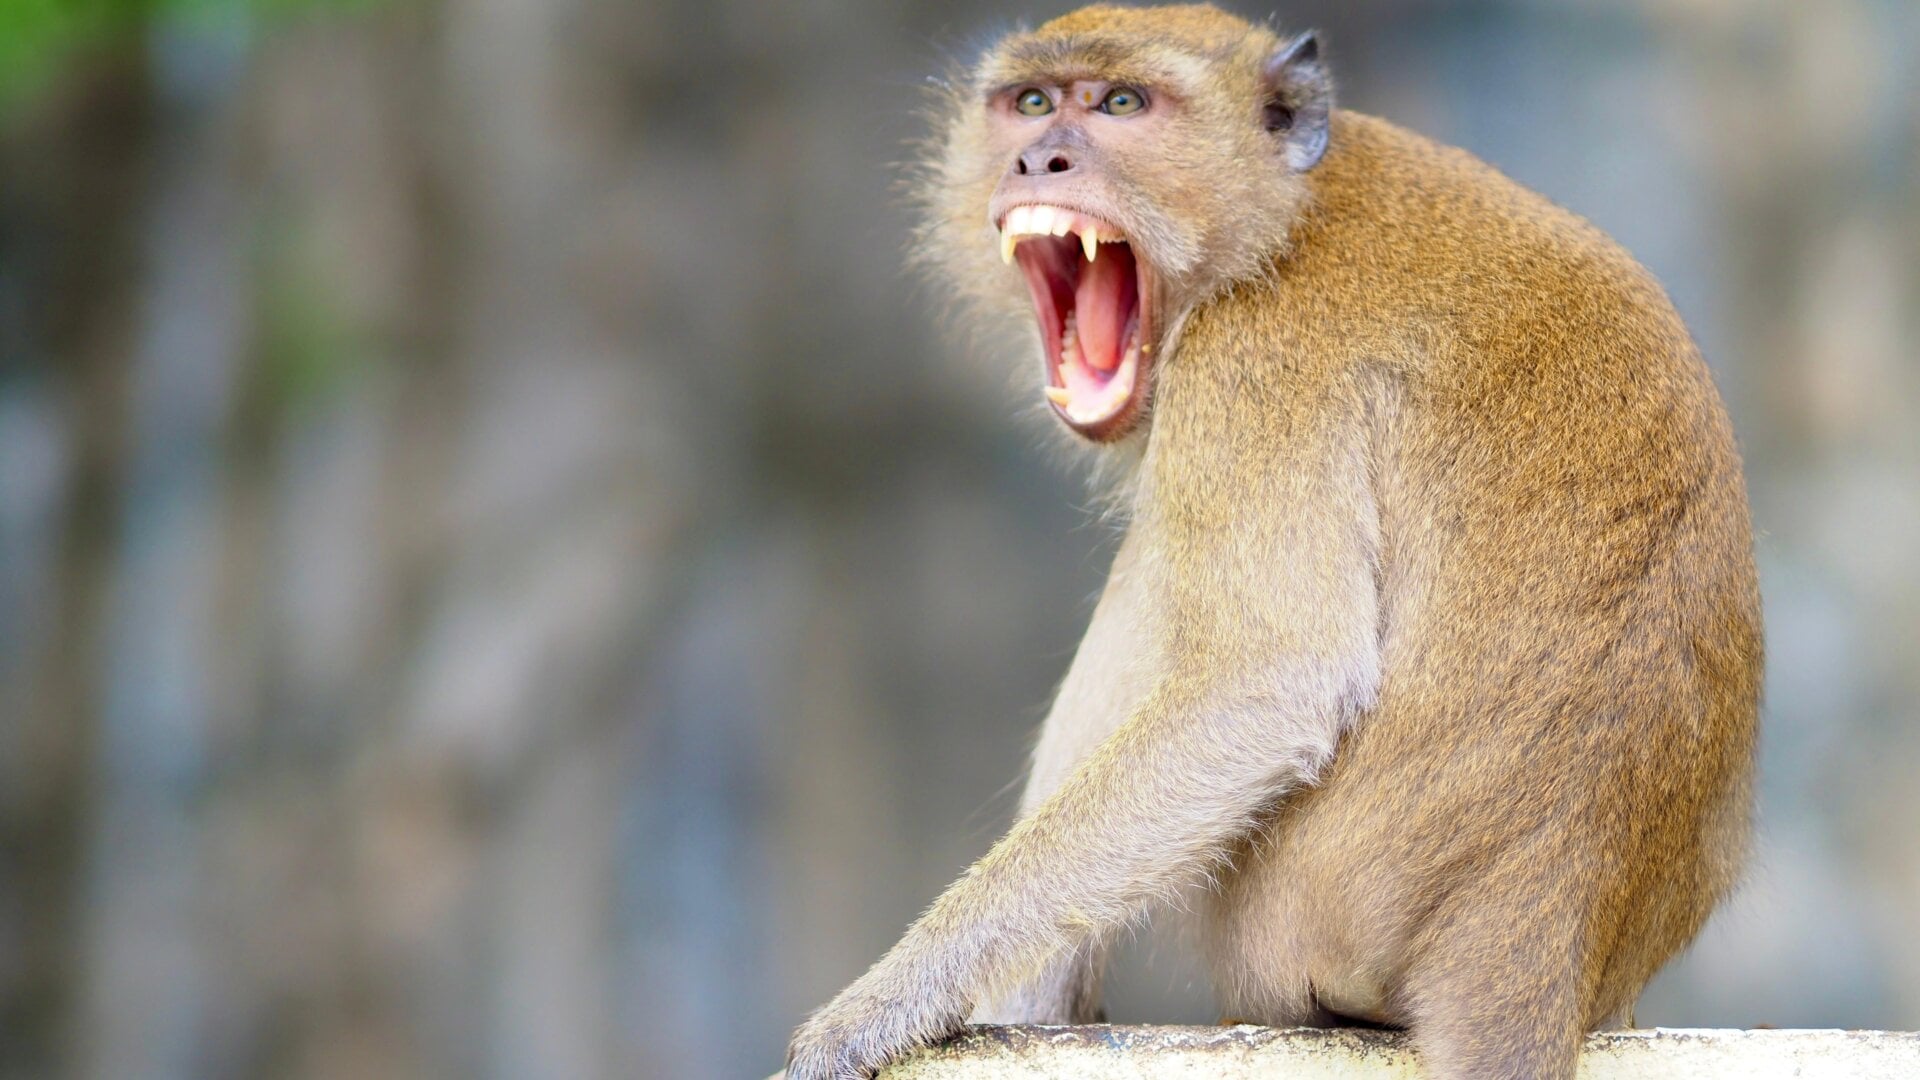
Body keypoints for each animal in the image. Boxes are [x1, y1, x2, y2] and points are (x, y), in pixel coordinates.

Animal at [783, 5, 1761, 1079]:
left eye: (1121, 103)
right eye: (1033, 102)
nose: (1038, 158)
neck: (1284, 214)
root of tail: (1547, 921)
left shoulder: (1251, 360)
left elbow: (1268, 683)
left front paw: (881, 1004)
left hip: (1304, 923)